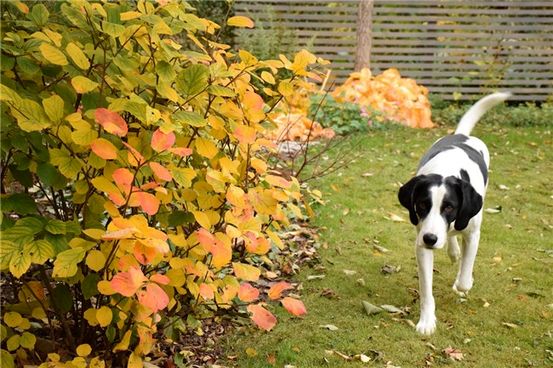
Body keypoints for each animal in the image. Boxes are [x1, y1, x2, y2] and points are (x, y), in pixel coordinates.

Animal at [396, 91, 508, 334]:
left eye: (449, 207)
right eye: (421, 205)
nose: (430, 239)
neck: (446, 170)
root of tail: (461, 135)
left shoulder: (472, 232)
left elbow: (465, 278)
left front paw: (462, 283)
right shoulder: (422, 241)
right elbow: (426, 289)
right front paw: (427, 321)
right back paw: (453, 249)